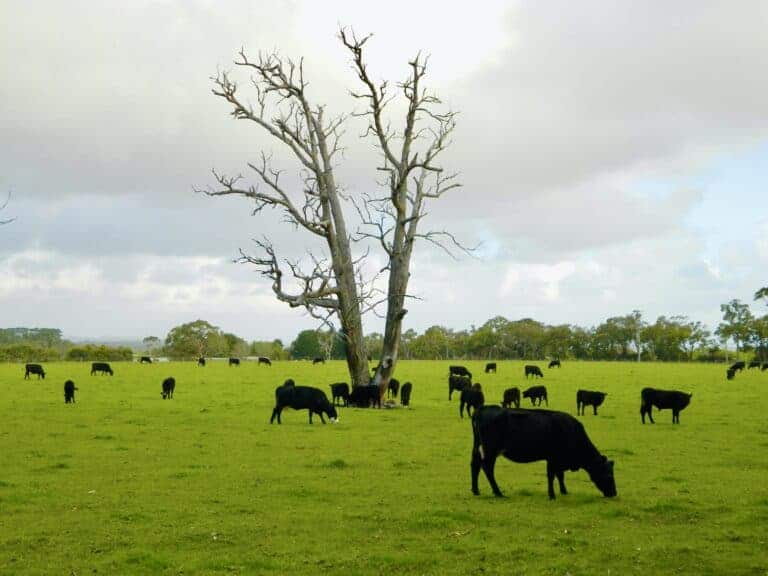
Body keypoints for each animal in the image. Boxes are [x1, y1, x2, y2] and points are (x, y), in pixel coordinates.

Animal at [468, 404, 616, 500]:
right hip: (491, 450)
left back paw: (476, 490)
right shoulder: (553, 458)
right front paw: (552, 495)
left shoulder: (558, 460)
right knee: (487, 467)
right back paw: (498, 492)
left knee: (475, 464)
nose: (614, 493)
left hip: (477, 446)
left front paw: (564, 491)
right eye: (609, 475)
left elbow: (560, 475)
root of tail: (482, 409)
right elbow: (551, 475)